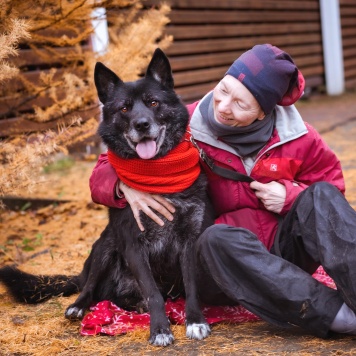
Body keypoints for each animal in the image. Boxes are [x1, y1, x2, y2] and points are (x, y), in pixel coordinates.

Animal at [0, 48, 214, 346]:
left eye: (153, 102)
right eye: (124, 108)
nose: (141, 124)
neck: (158, 174)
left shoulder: (190, 241)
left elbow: (191, 286)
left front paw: (195, 321)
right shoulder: (134, 245)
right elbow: (153, 293)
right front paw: (160, 329)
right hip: (106, 246)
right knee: (90, 287)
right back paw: (79, 306)